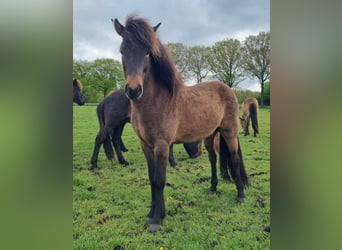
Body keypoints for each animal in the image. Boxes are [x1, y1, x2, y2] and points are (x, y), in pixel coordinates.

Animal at [113, 14, 247, 231]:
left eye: (148, 52)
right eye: (122, 50)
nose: (133, 90)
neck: (157, 102)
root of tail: (227, 88)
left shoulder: (162, 145)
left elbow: (159, 180)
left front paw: (157, 221)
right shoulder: (146, 145)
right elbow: (151, 178)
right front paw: (151, 215)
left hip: (230, 132)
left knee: (234, 159)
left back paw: (241, 196)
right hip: (209, 136)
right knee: (213, 159)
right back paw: (212, 188)